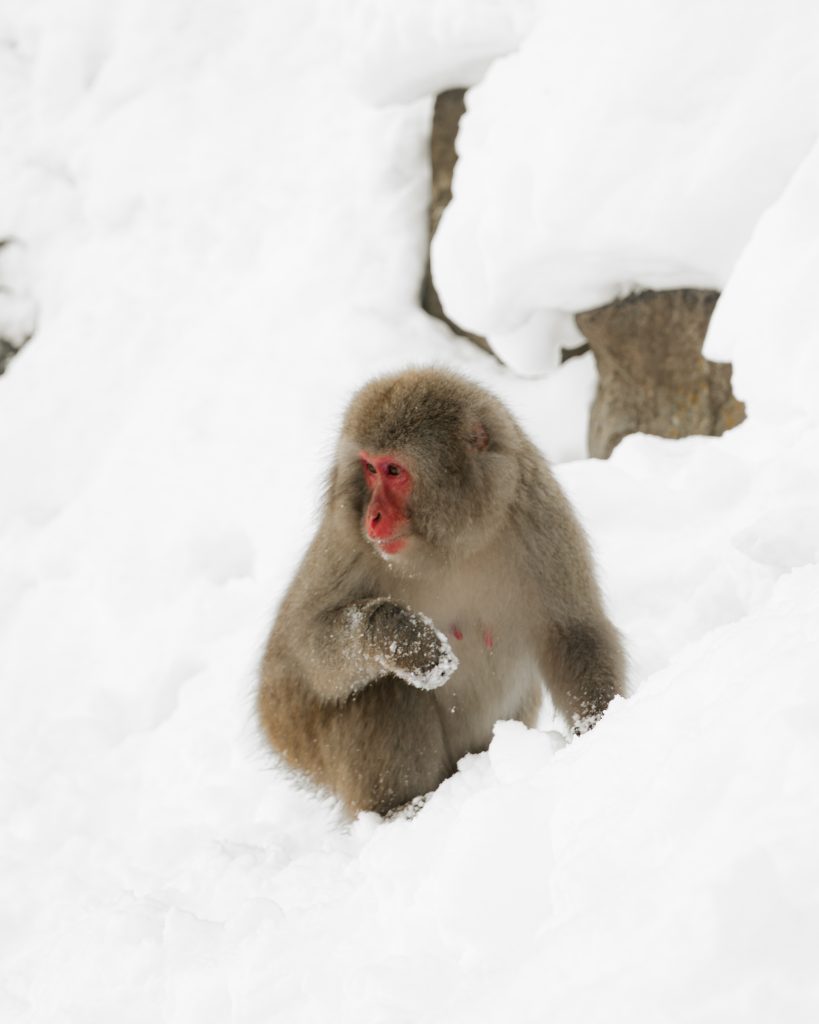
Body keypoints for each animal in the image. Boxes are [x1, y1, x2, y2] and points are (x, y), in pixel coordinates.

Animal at [258, 367, 625, 816]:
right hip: (305, 742)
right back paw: (403, 810)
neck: (451, 545)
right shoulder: (347, 543)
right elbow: (301, 654)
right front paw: (399, 636)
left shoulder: (538, 514)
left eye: (393, 471)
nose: (372, 516)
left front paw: (599, 727)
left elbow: (571, 630)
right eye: (368, 469)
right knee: (384, 685)